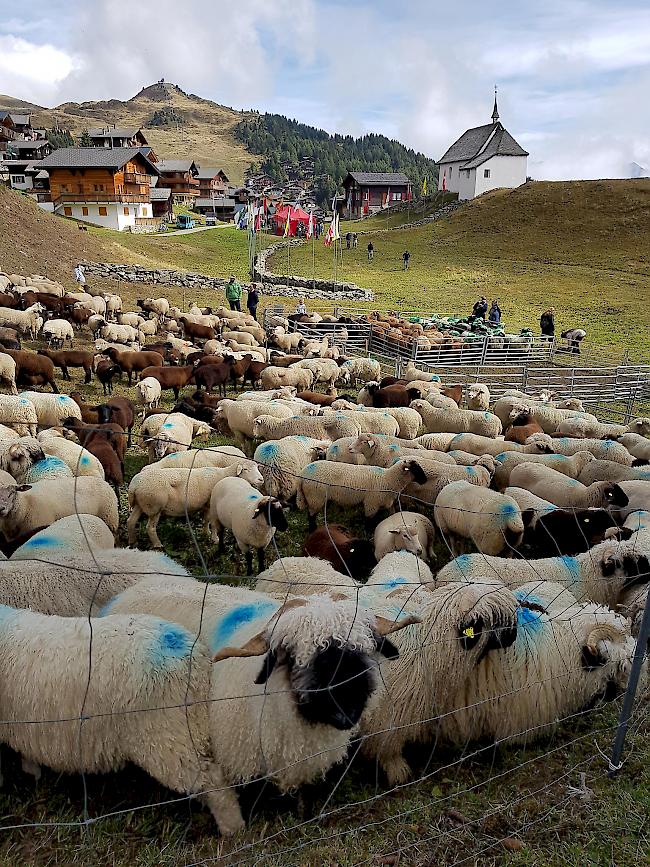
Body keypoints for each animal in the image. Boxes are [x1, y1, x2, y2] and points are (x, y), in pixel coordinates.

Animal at [127, 462, 264, 548]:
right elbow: (213, 523)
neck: (225, 475)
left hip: (140, 504)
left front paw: (206, 533)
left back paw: (132, 541)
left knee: (131, 521)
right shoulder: (212, 505)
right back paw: (158, 545)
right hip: (154, 506)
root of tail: (133, 486)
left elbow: (206, 520)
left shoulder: (206, 505)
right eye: (245, 469)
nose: (261, 479)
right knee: (150, 528)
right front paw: (215, 538)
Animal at [294, 458, 426, 532]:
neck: (388, 479)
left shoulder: (386, 502)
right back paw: (313, 529)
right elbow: (369, 520)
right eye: (416, 468)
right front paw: (368, 532)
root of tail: (301, 476)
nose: (425, 480)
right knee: (311, 516)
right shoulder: (371, 503)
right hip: (315, 497)